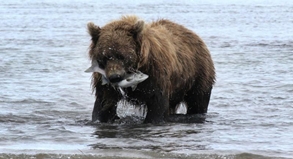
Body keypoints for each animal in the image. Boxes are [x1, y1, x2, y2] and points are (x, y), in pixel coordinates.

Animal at [85, 14, 213, 123]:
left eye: (122, 56)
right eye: (105, 56)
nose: (115, 77)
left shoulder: (155, 75)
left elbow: (157, 104)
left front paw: (152, 120)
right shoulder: (103, 81)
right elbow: (104, 103)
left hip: (197, 74)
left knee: (198, 101)